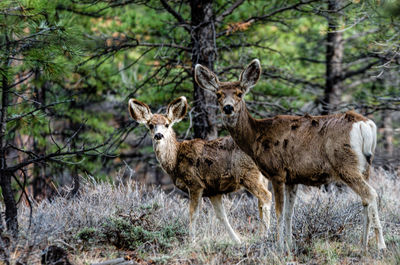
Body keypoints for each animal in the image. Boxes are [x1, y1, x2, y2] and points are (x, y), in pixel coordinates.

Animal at [128, 96, 272, 242]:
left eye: (167, 124)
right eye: (151, 125)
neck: (175, 160)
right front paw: (237, 241)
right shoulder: (214, 190)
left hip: (248, 174)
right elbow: (222, 216)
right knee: (261, 202)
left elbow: (193, 213)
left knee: (266, 196)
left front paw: (191, 240)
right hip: (261, 177)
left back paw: (265, 235)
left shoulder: (195, 183)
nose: (158, 135)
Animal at [195, 58, 386, 251]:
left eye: (239, 93)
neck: (256, 137)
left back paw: (380, 245)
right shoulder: (293, 177)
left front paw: (279, 246)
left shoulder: (277, 172)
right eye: (218, 94)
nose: (228, 108)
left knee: (371, 194)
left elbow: (279, 212)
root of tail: (365, 125)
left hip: (345, 164)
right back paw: (363, 244)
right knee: (365, 199)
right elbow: (289, 213)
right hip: (365, 166)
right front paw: (289, 244)